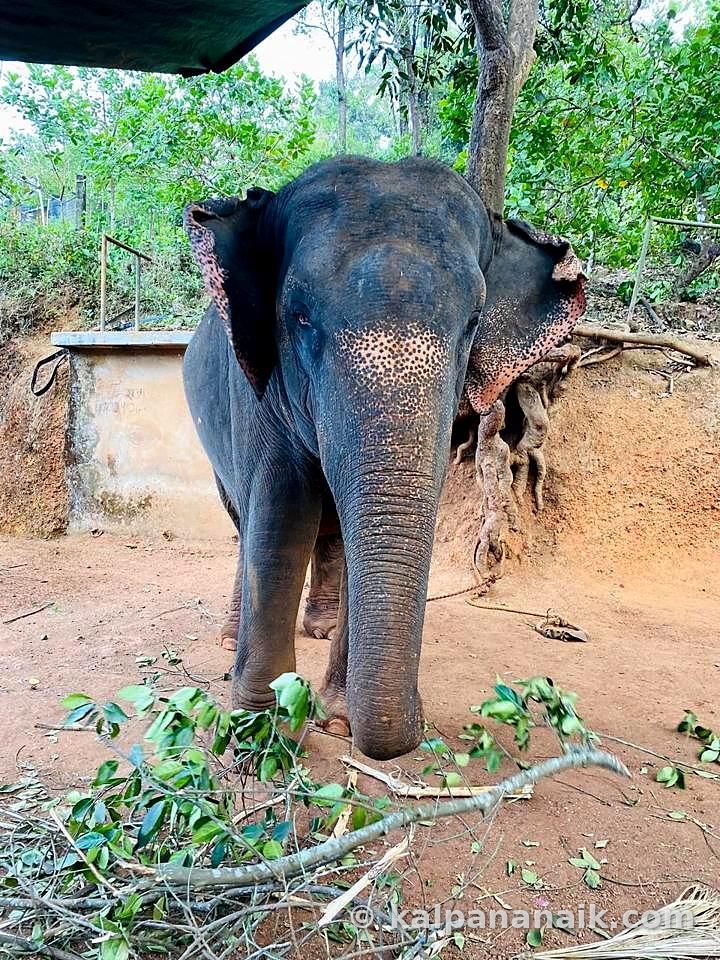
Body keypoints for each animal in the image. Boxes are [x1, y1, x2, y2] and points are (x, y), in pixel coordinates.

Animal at [183, 156, 585, 761]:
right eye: (300, 318)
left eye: (473, 322)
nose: (418, 715)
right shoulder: (256, 391)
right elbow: (279, 513)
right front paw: (259, 734)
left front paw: (336, 722)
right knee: (243, 521)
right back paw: (231, 637)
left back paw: (323, 628)